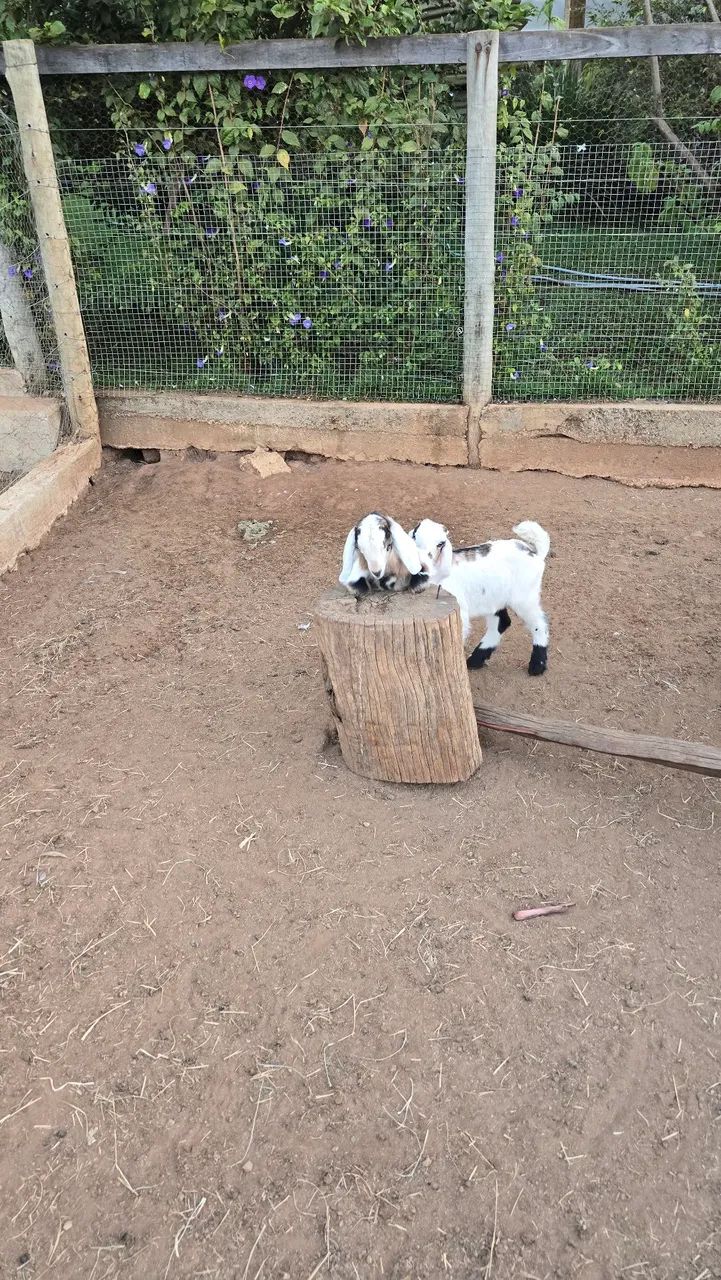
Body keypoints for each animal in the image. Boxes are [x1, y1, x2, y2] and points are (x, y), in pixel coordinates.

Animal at [410, 518, 550, 675]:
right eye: (414, 535)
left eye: (440, 543)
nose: (420, 563)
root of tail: (534, 552)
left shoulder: (460, 611)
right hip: (495, 597)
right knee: (502, 622)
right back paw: (475, 660)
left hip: (524, 596)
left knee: (539, 623)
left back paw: (537, 665)